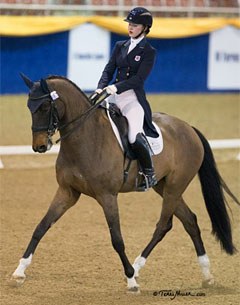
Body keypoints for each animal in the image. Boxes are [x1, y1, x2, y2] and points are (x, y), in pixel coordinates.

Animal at [11, 73, 240, 292]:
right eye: (29, 107)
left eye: (45, 106)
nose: (39, 146)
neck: (86, 138)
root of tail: (189, 128)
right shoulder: (67, 192)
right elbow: (41, 227)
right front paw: (19, 272)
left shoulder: (107, 196)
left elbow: (117, 240)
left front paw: (130, 281)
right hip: (164, 186)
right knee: (190, 221)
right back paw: (207, 275)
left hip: (175, 186)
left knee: (163, 225)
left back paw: (137, 268)